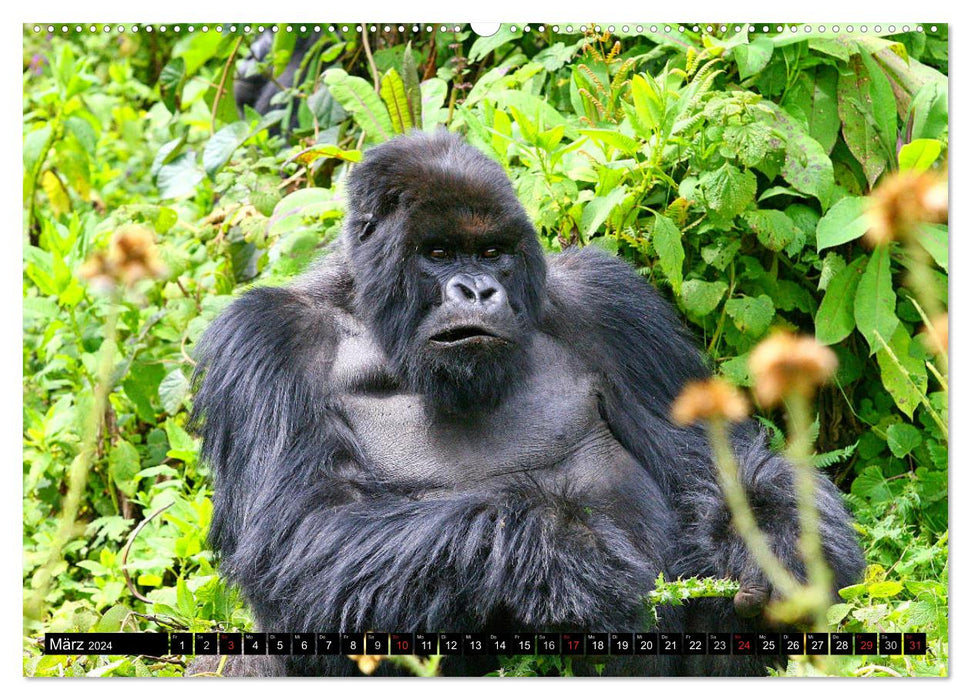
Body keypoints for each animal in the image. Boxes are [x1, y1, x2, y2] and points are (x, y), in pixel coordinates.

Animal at [192, 130, 864, 672]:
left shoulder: (610, 302)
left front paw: (778, 547)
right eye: (438, 253)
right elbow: (302, 533)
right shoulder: (266, 341)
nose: (477, 290)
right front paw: (559, 554)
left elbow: (709, 465)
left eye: (493, 253)